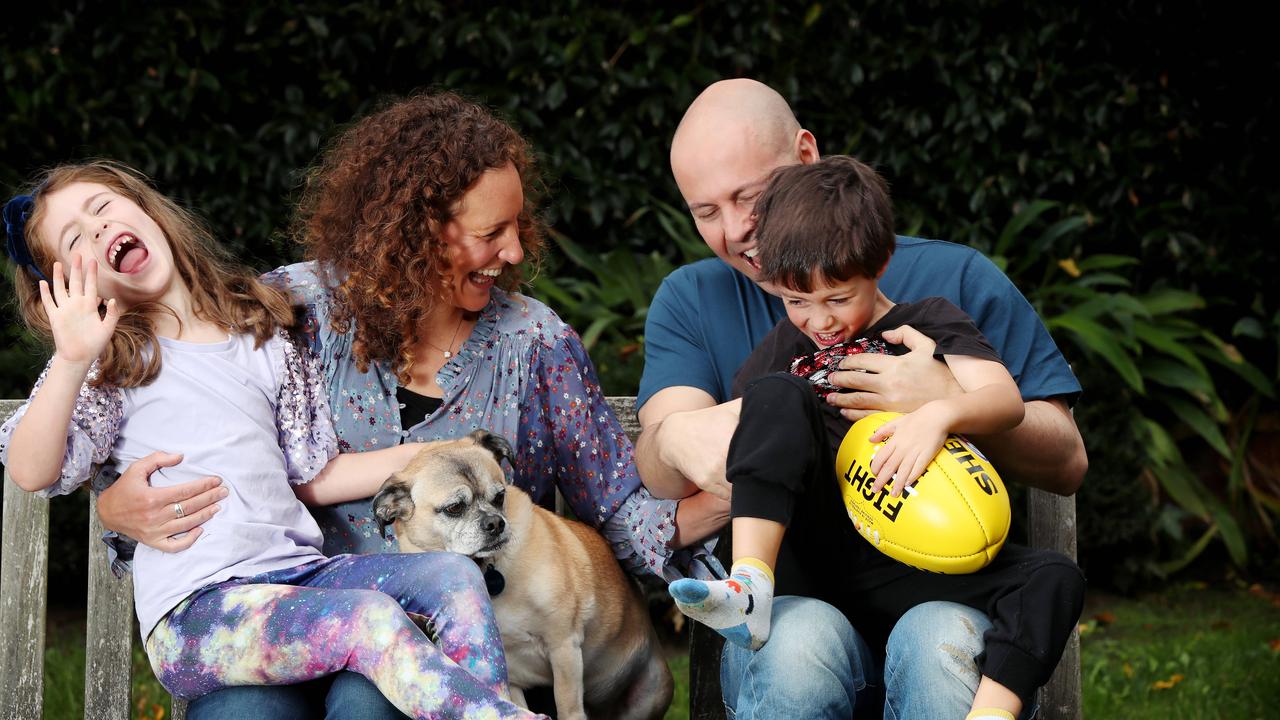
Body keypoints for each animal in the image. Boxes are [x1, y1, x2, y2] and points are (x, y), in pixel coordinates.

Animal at [368, 427, 670, 712]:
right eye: (454, 508)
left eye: (500, 496)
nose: (495, 523)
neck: (486, 569)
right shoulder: (511, 677)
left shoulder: (564, 647)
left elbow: (568, 707)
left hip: (650, 694)